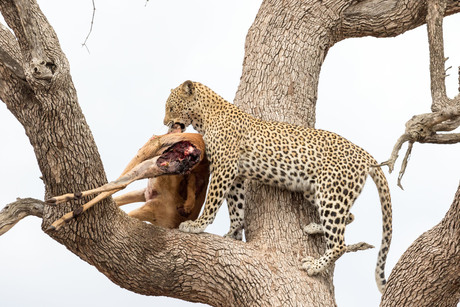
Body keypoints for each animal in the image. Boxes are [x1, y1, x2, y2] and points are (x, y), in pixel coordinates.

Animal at [162, 79, 392, 294]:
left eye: (171, 107)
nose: (165, 122)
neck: (205, 116)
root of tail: (364, 154)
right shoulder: (237, 175)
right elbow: (236, 207)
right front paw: (233, 235)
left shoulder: (224, 167)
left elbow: (213, 201)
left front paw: (197, 225)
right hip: (318, 191)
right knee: (348, 217)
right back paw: (314, 227)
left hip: (331, 193)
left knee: (339, 243)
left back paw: (315, 265)